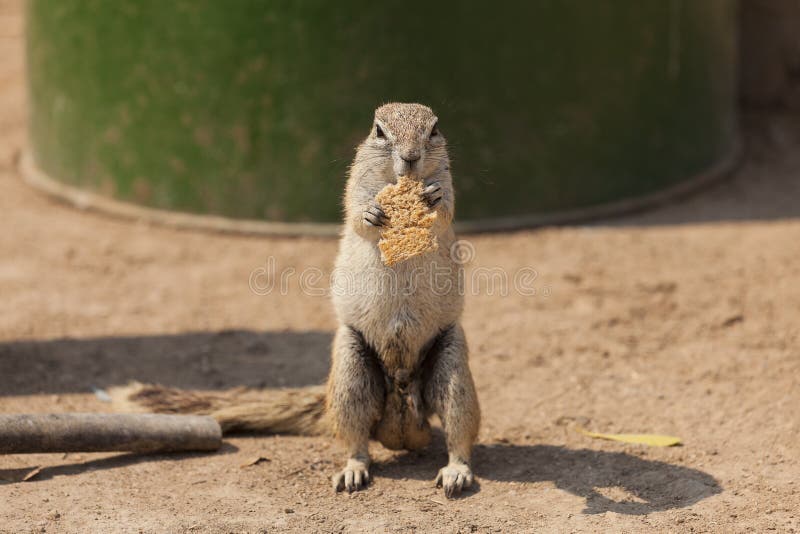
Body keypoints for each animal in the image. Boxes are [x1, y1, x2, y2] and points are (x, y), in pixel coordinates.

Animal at [113, 103, 481, 499]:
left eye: (434, 129)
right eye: (379, 131)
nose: (411, 157)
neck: (397, 182)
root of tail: (403, 415)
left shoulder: (447, 180)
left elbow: (446, 209)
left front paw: (433, 198)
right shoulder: (355, 183)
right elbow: (355, 213)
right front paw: (372, 213)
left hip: (452, 366)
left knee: (458, 431)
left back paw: (456, 471)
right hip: (351, 371)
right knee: (355, 439)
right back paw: (353, 470)